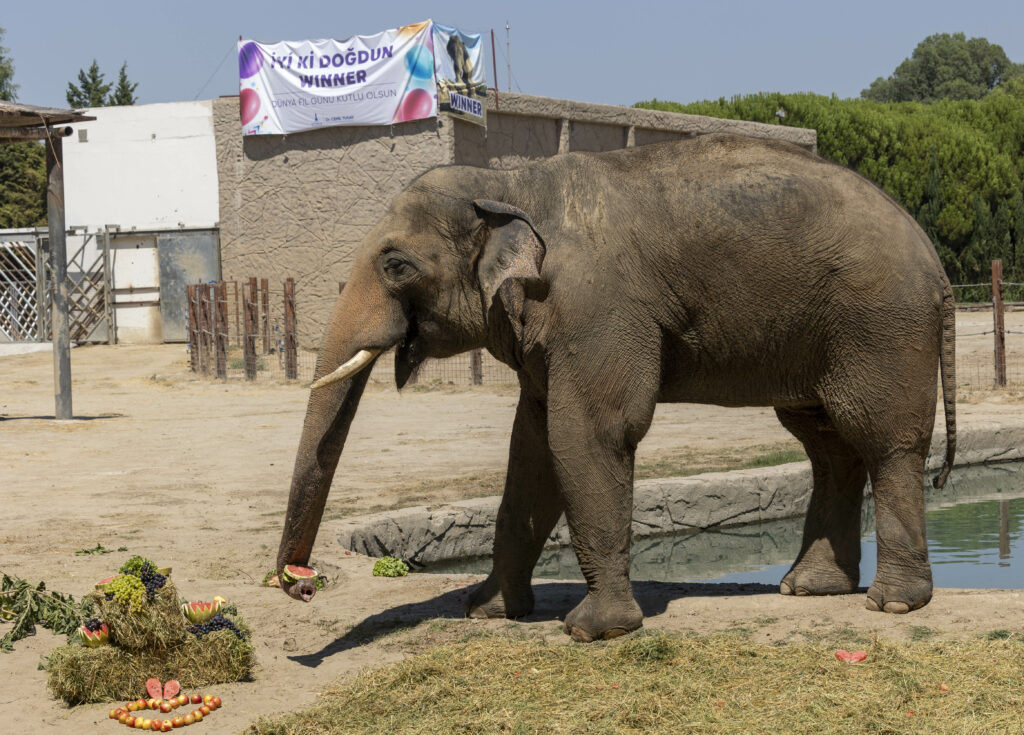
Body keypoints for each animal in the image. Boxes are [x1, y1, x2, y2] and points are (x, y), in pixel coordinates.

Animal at [276, 134, 954, 646]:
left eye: (396, 265)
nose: (297, 584)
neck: (510, 183)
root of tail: (937, 263)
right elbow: (532, 447)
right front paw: (488, 612)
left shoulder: (594, 307)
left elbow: (589, 431)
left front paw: (591, 632)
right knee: (826, 440)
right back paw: (809, 588)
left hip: (878, 323)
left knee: (881, 438)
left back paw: (893, 605)